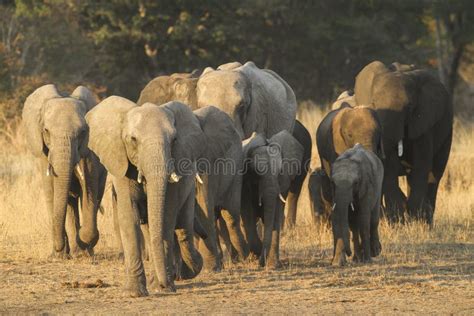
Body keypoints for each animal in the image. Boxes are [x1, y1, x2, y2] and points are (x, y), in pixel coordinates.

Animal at [21, 84, 106, 260]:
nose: (57, 249)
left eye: (83, 132)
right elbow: (52, 191)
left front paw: (83, 242)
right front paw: (58, 255)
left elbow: (89, 190)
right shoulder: (43, 152)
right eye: (46, 131)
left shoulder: (90, 153)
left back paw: (83, 251)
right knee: (70, 203)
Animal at [85, 98, 237, 296]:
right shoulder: (121, 164)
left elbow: (167, 215)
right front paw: (135, 293)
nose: (165, 286)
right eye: (133, 140)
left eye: (174, 140)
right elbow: (129, 217)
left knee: (182, 226)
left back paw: (188, 269)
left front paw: (162, 286)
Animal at [241, 130, 304, 266]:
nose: (261, 262)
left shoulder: (281, 183)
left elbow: (276, 215)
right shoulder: (245, 183)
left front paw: (273, 265)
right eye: (257, 172)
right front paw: (259, 254)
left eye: (280, 171)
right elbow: (247, 213)